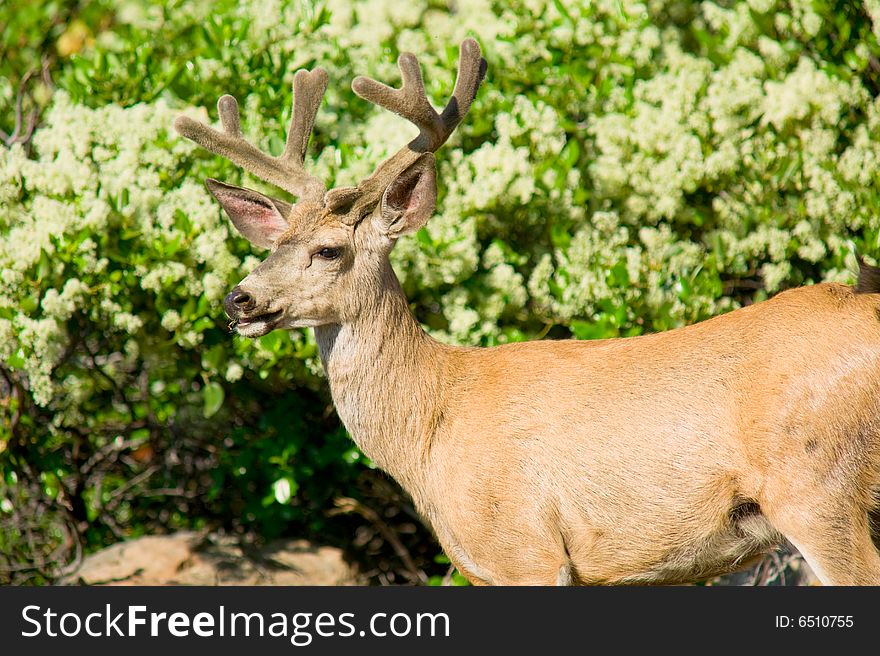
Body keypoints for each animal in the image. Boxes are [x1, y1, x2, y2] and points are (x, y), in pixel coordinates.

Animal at [174, 39, 880, 584]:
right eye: (271, 245)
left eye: (328, 250)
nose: (239, 299)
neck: (431, 422)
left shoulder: (524, 547)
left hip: (818, 487)